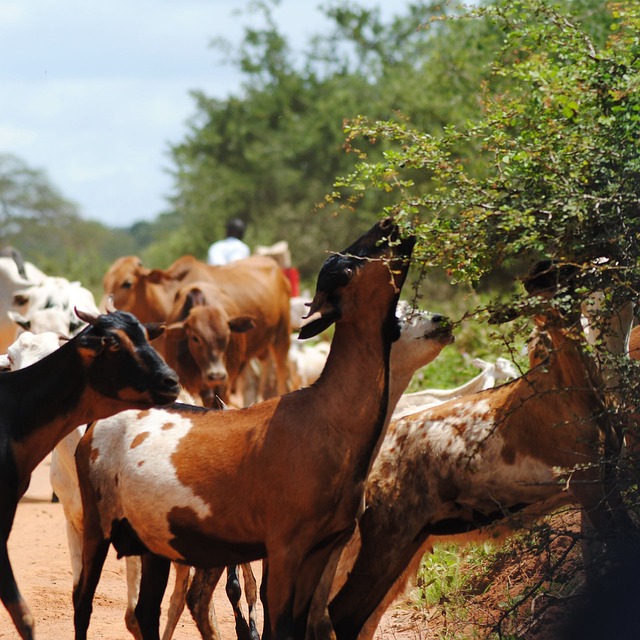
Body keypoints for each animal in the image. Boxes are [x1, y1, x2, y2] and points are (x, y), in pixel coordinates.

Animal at [72, 218, 416, 636]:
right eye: (347, 269)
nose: (389, 223)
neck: (327, 413)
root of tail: (95, 428)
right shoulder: (284, 548)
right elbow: (279, 624)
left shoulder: (322, 548)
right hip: (97, 523)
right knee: (83, 602)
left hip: (152, 538)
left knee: (145, 611)